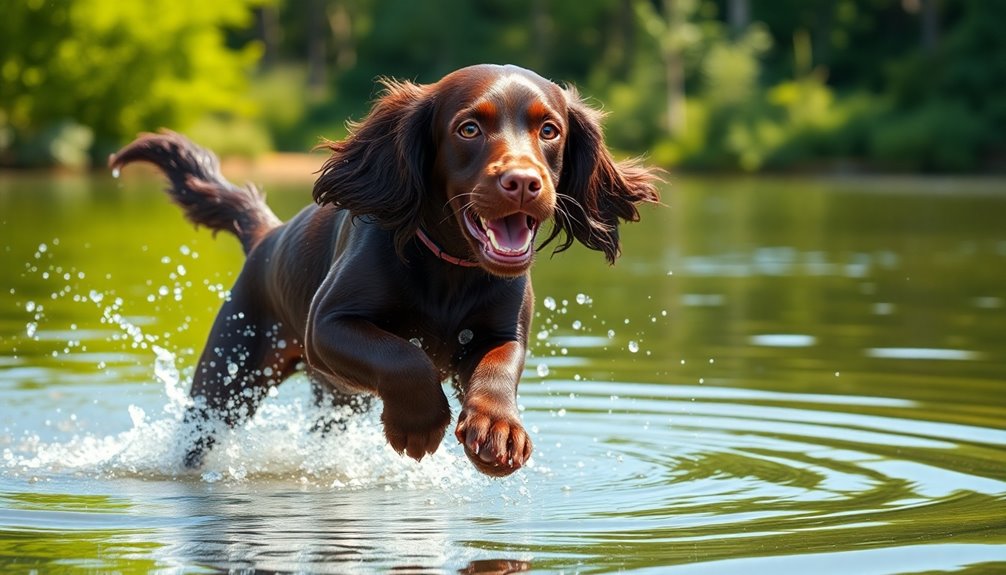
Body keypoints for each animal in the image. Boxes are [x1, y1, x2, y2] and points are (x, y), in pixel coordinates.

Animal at [110, 64, 659, 476]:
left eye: (549, 130)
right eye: (469, 128)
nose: (523, 182)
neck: (451, 266)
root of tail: (268, 233)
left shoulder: (503, 333)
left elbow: (498, 369)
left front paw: (498, 431)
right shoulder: (327, 325)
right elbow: (404, 357)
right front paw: (418, 424)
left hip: (334, 399)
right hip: (228, 381)